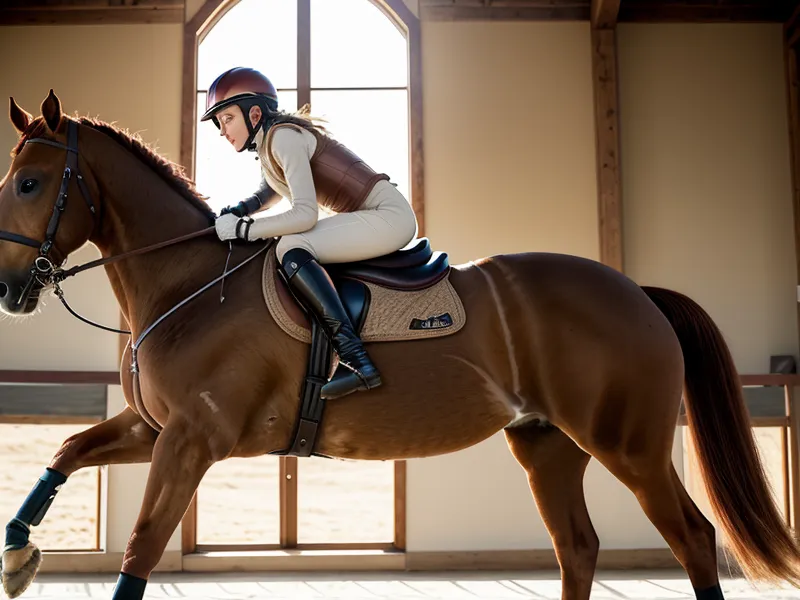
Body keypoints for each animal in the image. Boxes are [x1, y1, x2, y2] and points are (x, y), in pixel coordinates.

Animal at [0, 90, 798, 600]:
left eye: (31, 183)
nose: (9, 290)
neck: (187, 282)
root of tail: (638, 292)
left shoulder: (193, 438)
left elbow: (140, 548)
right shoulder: (154, 428)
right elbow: (66, 451)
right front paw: (17, 551)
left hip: (628, 445)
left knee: (692, 538)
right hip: (547, 443)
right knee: (577, 547)